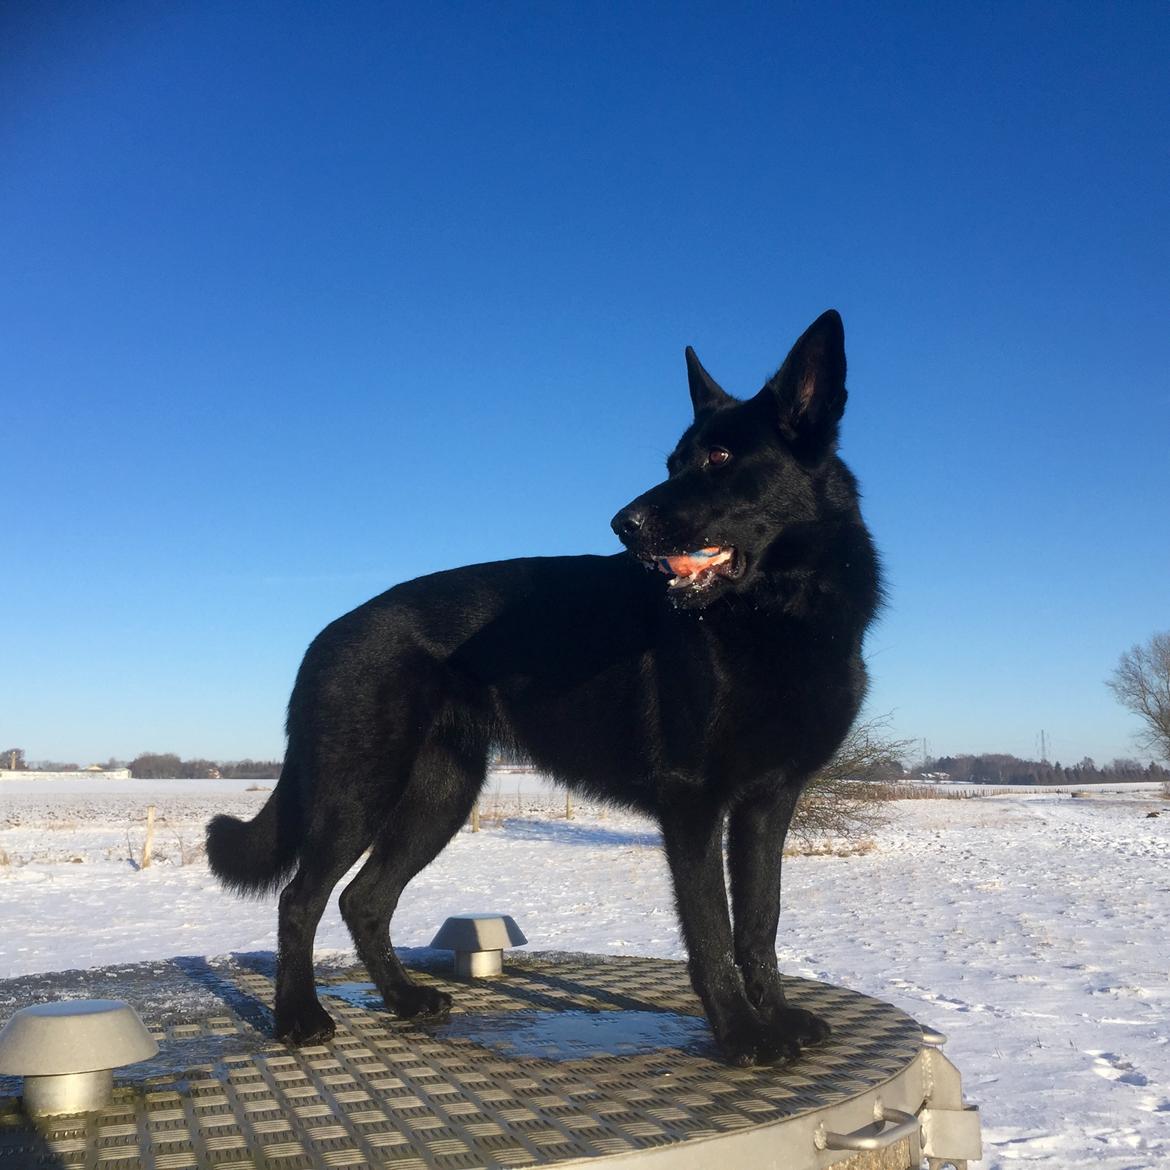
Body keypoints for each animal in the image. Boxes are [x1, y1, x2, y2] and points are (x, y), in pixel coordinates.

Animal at [208, 313, 879, 1071]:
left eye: (718, 457)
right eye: (673, 463)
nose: (622, 524)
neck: (778, 612)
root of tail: (326, 635)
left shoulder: (769, 802)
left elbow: (760, 923)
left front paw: (777, 1018)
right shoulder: (694, 803)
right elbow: (711, 931)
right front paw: (740, 1034)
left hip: (439, 798)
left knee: (363, 900)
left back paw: (404, 1000)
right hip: (358, 792)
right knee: (301, 898)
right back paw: (298, 1016)